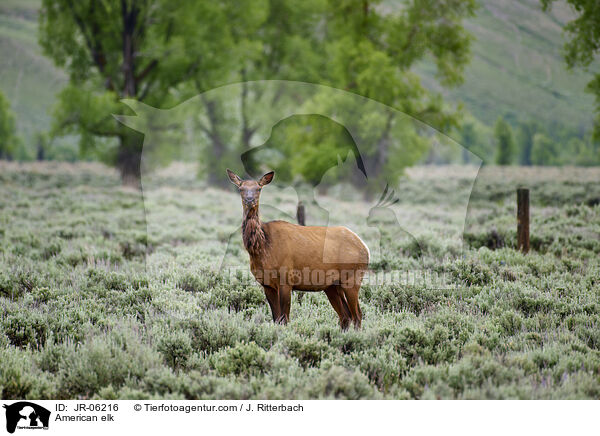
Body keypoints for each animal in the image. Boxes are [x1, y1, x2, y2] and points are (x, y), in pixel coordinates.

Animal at [227, 169, 368, 328]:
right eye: (241, 188)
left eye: (258, 188)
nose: (249, 200)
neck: (262, 248)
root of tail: (365, 248)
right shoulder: (266, 284)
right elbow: (276, 319)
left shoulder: (286, 279)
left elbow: (284, 319)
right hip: (331, 286)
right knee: (345, 316)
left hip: (352, 278)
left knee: (357, 315)